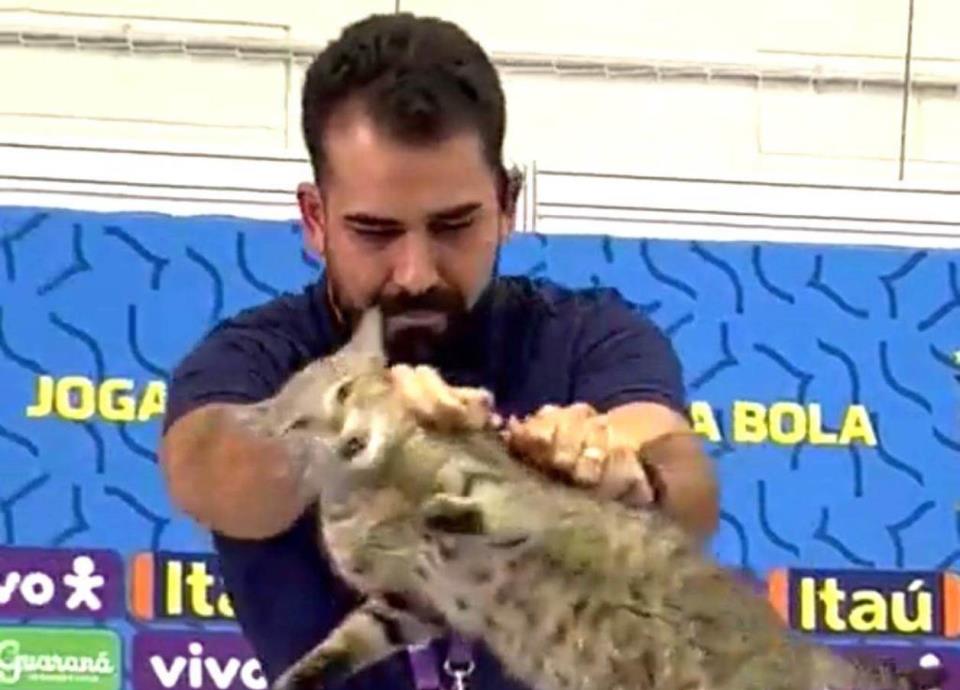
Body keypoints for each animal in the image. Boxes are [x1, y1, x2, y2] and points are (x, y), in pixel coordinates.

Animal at [241, 305, 941, 690]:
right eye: (299, 426)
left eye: (346, 392)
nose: (347, 438)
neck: (372, 487)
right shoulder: (410, 604)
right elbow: (346, 641)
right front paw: (299, 677)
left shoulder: (504, 494)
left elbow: (483, 503)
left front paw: (438, 511)